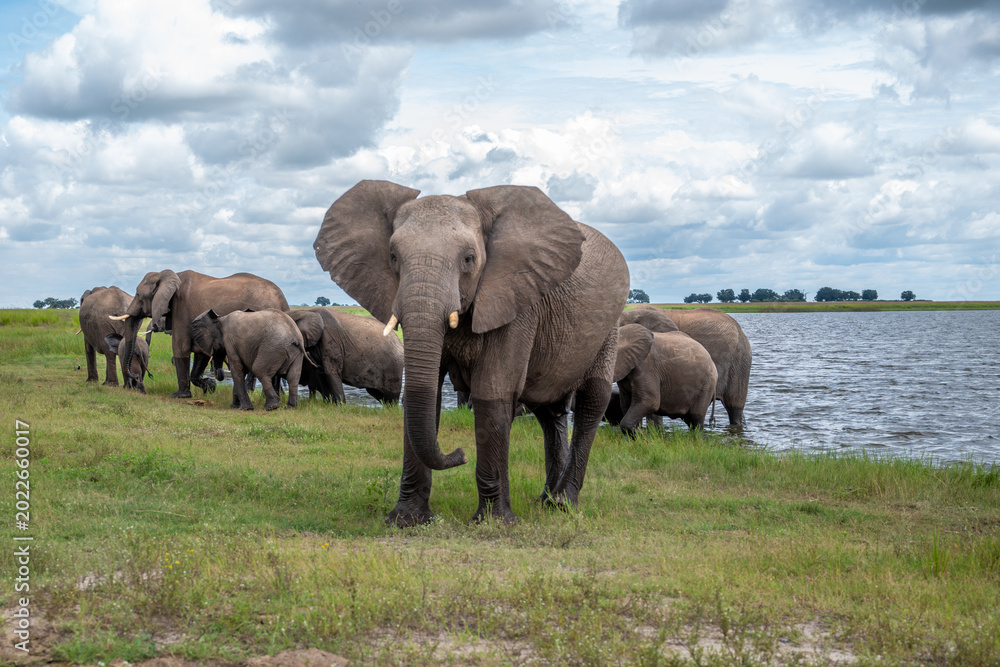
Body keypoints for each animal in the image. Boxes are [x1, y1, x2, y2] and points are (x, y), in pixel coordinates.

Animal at [109, 270, 289, 399]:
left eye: (138, 295)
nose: (137, 378)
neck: (168, 275)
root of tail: (283, 301)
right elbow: (201, 354)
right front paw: (210, 386)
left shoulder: (181, 309)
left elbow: (180, 349)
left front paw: (179, 396)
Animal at [314, 180, 629, 526]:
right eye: (394, 257)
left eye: (468, 259)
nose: (460, 454)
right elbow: (426, 395)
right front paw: (407, 520)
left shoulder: (515, 299)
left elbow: (491, 391)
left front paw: (495, 523)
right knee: (549, 412)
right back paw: (545, 500)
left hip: (609, 327)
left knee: (592, 401)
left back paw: (563, 503)